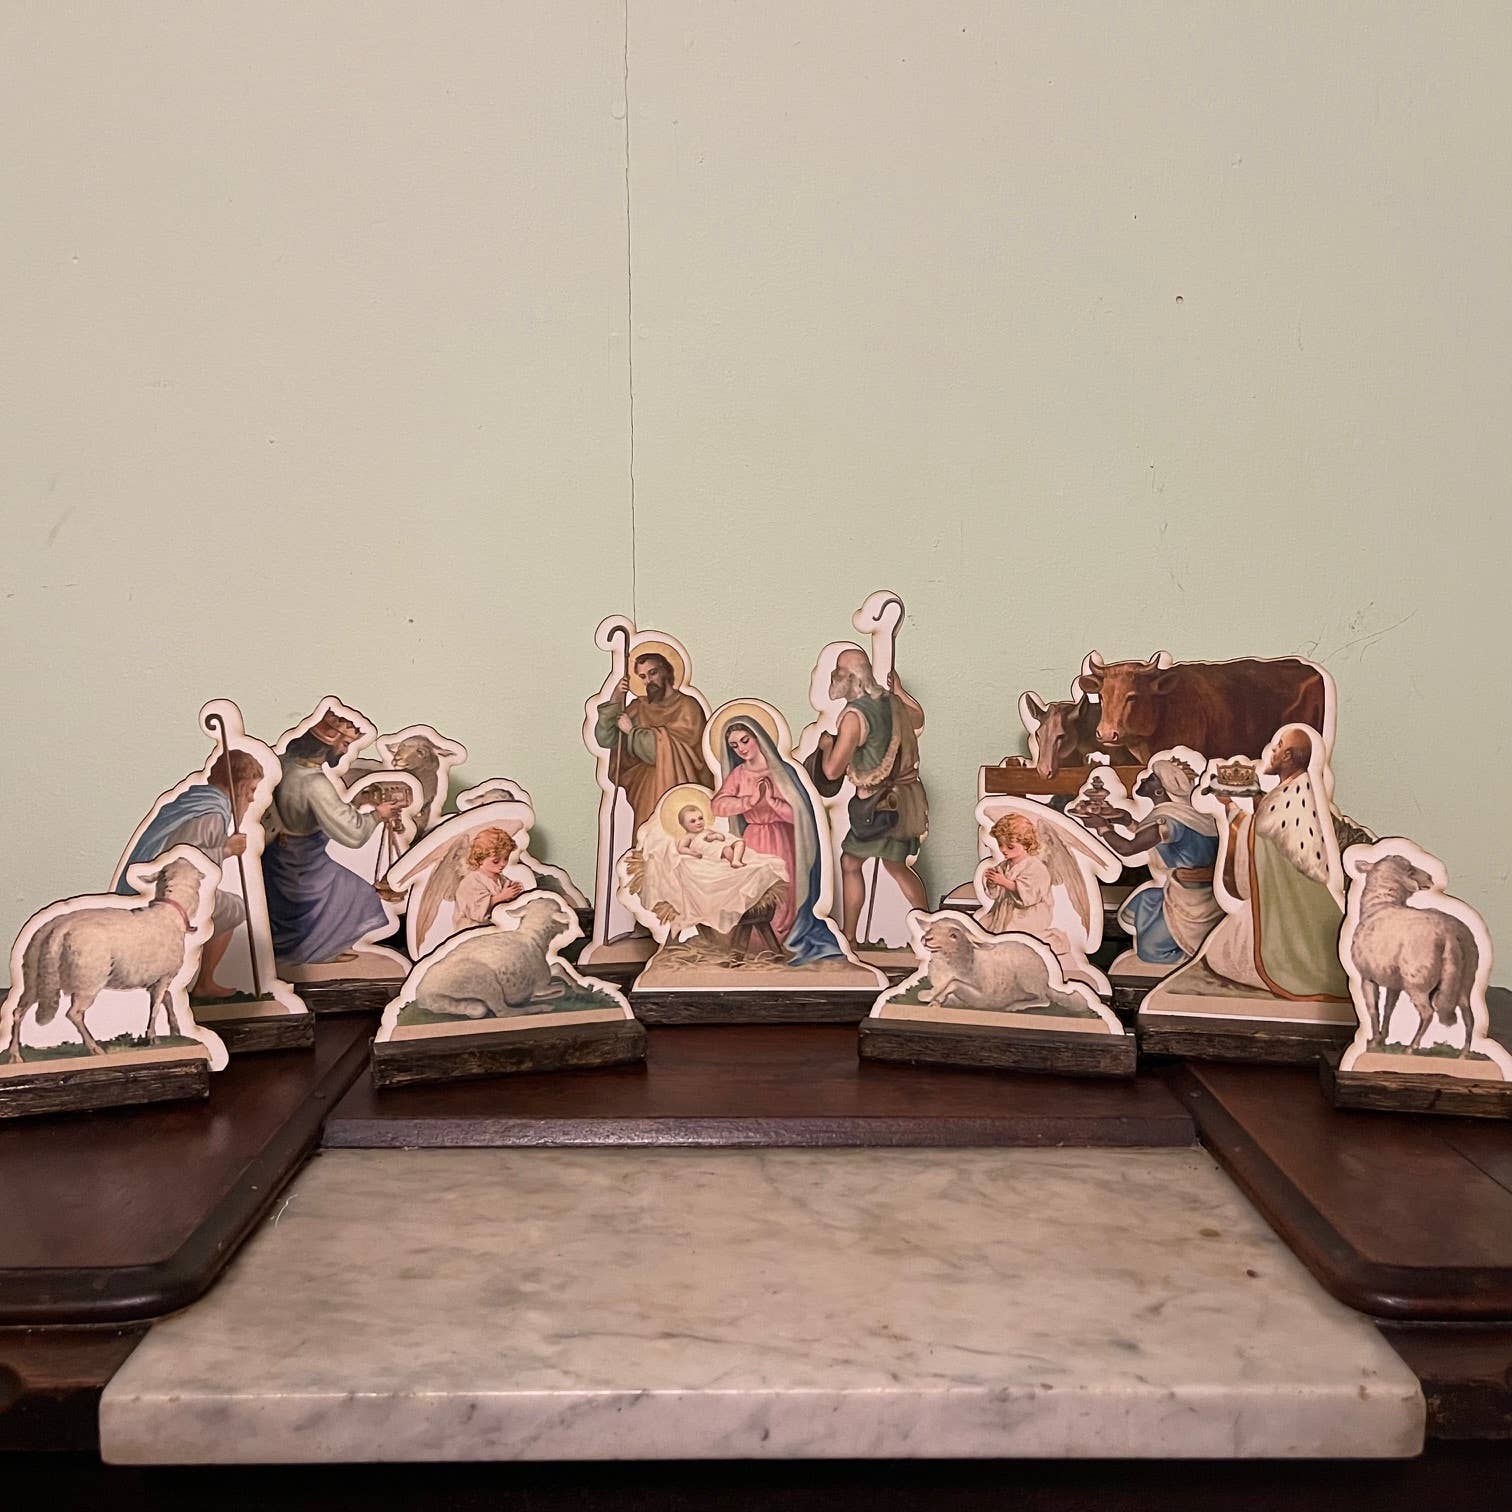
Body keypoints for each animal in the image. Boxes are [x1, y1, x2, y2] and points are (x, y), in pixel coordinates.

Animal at [6, 855, 208, 1062]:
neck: (169, 912)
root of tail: (57, 931)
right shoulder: (165, 976)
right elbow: (156, 1007)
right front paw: (152, 1037)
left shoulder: (154, 979)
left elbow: (166, 999)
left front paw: (174, 1029)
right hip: (87, 981)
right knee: (74, 1014)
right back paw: (95, 1048)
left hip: (33, 977)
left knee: (18, 1012)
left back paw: (15, 1055)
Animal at [412, 895, 573, 1020]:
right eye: (560, 910)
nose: (568, 926)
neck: (533, 937)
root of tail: (421, 993)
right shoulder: (541, 984)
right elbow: (560, 986)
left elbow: (558, 968)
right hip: (485, 982)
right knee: (503, 1011)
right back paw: (542, 1007)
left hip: (443, 1002)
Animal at [919, 916, 1089, 1014]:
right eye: (931, 928)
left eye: (953, 935)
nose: (926, 939)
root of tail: (1046, 983)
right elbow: (926, 994)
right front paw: (933, 999)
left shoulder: (984, 997)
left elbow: (954, 983)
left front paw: (938, 999)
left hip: (1028, 980)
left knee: (1044, 1000)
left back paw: (1015, 1005)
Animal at [1350, 853, 1480, 1054]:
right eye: (1410, 870)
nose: (1430, 878)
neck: (1381, 904)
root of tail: (1449, 932)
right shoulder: (1394, 983)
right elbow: (1389, 1008)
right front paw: (1381, 1039)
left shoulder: (1367, 977)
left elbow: (1373, 1009)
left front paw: (1374, 1041)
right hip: (1465, 983)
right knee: (1469, 1017)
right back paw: (1464, 1054)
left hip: (1417, 981)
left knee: (1428, 1012)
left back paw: (1411, 1048)